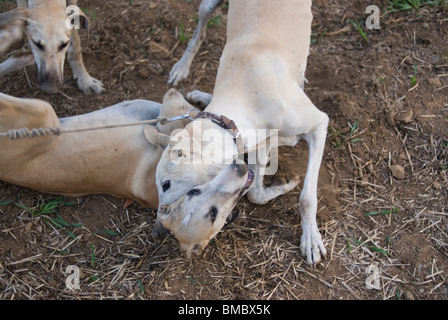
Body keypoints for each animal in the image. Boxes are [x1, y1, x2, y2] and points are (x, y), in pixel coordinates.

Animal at [152, 0, 328, 268]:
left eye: (165, 184)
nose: (160, 227)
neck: (249, 94)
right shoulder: (254, 145)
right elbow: (255, 193)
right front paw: (283, 185)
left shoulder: (319, 124)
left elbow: (307, 197)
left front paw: (310, 238)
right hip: (207, 7)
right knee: (198, 31)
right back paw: (185, 70)